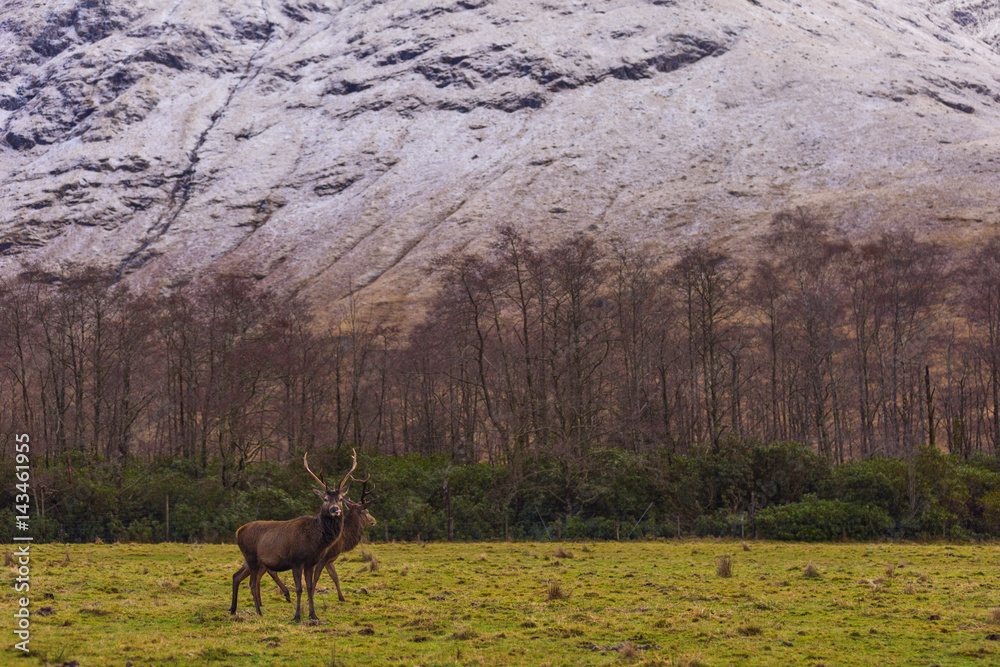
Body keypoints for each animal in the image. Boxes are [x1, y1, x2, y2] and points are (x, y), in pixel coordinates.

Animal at [229, 449, 356, 622]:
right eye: (325, 499)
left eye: (341, 499)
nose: (334, 509)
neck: (315, 541)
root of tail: (239, 531)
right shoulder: (296, 559)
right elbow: (299, 588)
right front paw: (297, 616)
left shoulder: (311, 562)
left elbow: (310, 587)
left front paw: (313, 615)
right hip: (252, 557)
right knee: (252, 583)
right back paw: (259, 612)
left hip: (251, 561)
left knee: (237, 576)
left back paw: (233, 609)